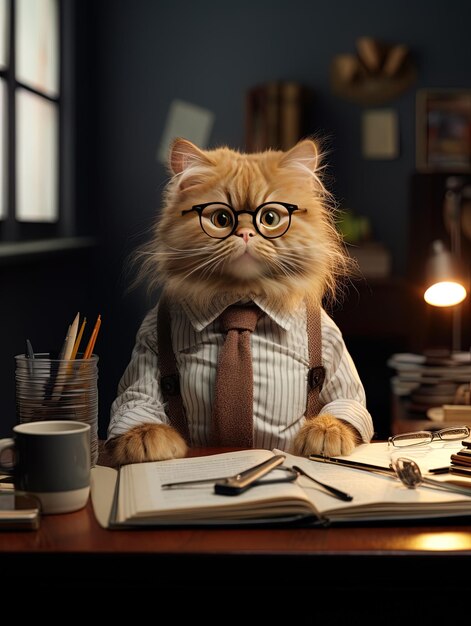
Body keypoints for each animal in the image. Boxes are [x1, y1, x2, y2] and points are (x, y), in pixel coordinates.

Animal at [108, 138, 376, 468]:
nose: (246, 233)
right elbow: (135, 404)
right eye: (221, 219)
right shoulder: (147, 348)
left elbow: (343, 407)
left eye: (270, 218)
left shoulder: (334, 349)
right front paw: (144, 438)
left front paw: (325, 433)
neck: (242, 301)